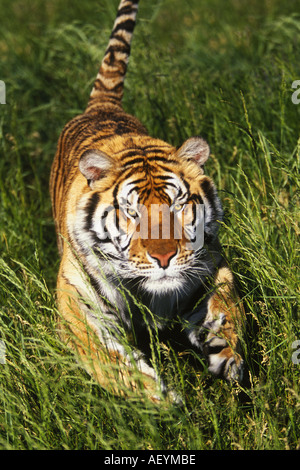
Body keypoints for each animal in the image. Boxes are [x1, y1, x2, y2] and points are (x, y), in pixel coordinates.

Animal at [49, 0, 246, 404]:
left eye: (178, 206)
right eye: (131, 211)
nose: (164, 258)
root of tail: (101, 107)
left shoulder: (210, 266)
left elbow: (227, 304)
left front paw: (227, 351)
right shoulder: (80, 307)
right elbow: (110, 361)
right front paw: (163, 400)